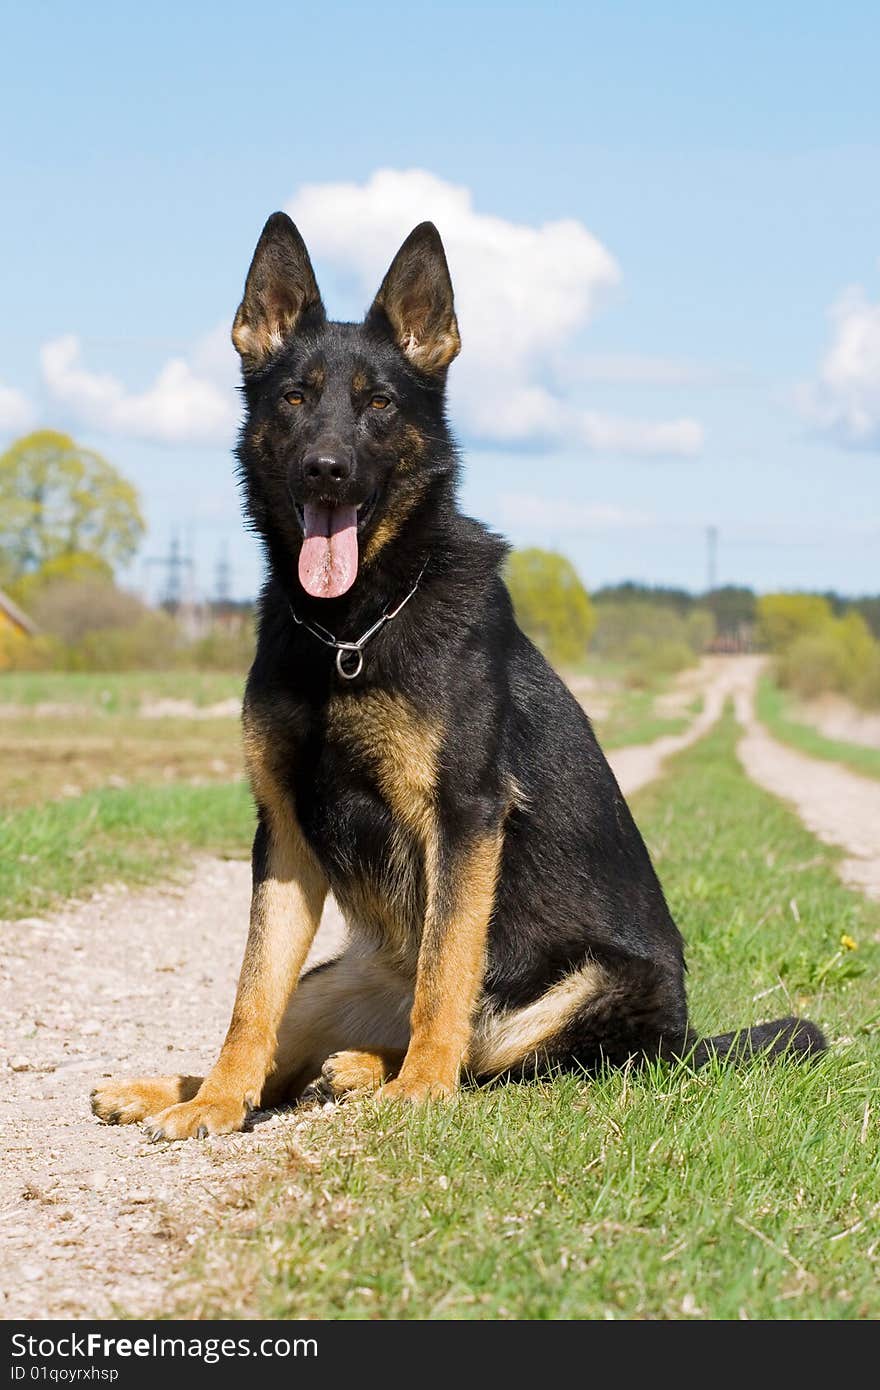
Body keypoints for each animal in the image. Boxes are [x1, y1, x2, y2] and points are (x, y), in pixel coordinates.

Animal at [91, 211, 823, 1134]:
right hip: (332, 979)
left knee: (490, 1055)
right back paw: (195, 1085)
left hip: (588, 986)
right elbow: (250, 997)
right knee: (295, 1047)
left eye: (378, 404)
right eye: (295, 398)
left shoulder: (465, 817)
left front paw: (419, 1090)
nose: (327, 469)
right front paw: (218, 1100)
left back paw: (380, 1073)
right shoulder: (282, 834)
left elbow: (446, 972)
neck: (351, 628)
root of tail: (687, 1044)